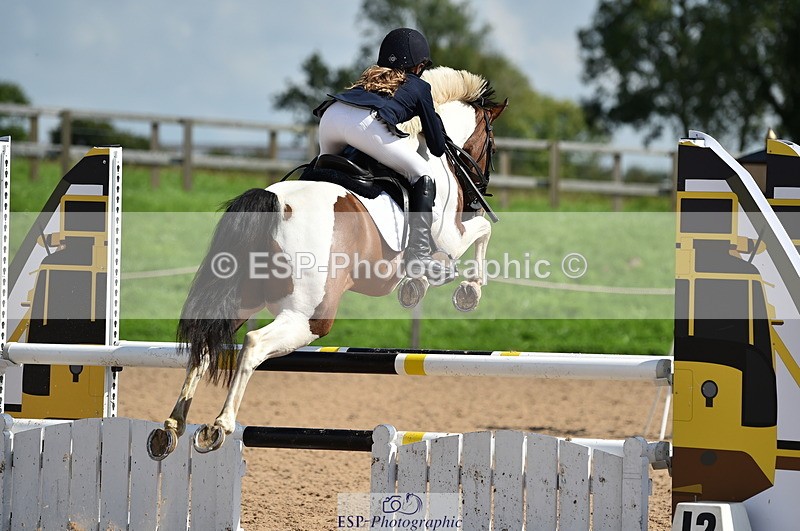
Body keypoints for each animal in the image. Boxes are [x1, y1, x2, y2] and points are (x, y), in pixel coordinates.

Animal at [146, 67, 507, 459]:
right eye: (492, 145)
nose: (479, 193)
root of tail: (273, 203)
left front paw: (415, 287)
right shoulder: (450, 237)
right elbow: (482, 232)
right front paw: (468, 292)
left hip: (241, 299)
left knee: (205, 346)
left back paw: (172, 426)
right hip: (310, 316)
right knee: (254, 344)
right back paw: (218, 427)